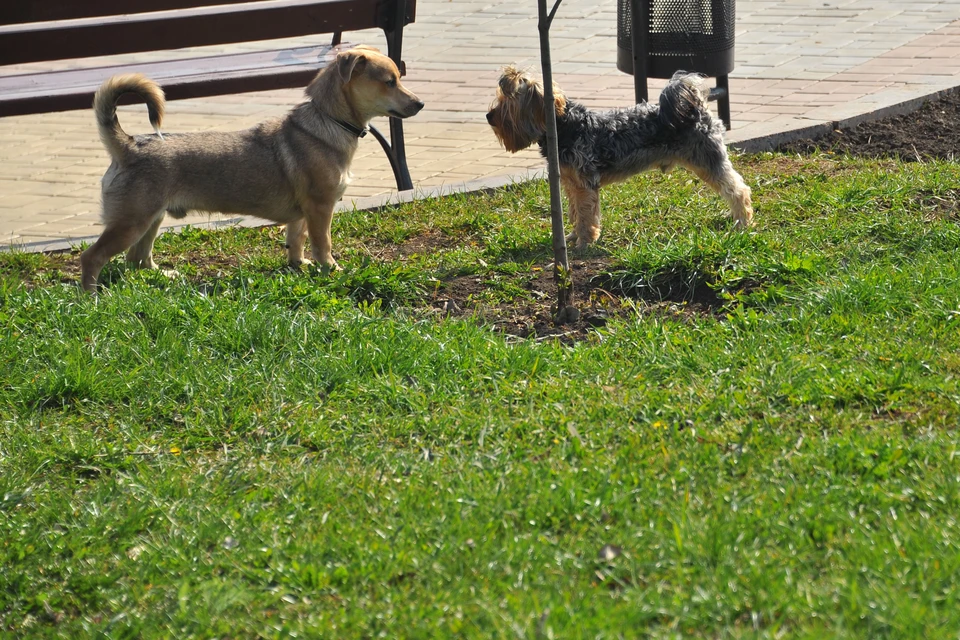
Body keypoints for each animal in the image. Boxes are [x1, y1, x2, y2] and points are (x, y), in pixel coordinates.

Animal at [80, 46, 426, 292]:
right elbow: (323, 244)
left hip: (152, 219)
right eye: (390, 82)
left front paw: (299, 266)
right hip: (132, 222)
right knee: (93, 257)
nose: (420, 104)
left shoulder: (302, 214)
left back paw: (162, 276)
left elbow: (297, 240)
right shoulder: (321, 208)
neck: (328, 120)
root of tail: (129, 145)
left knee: (136, 260)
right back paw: (92, 297)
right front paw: (331, 270)